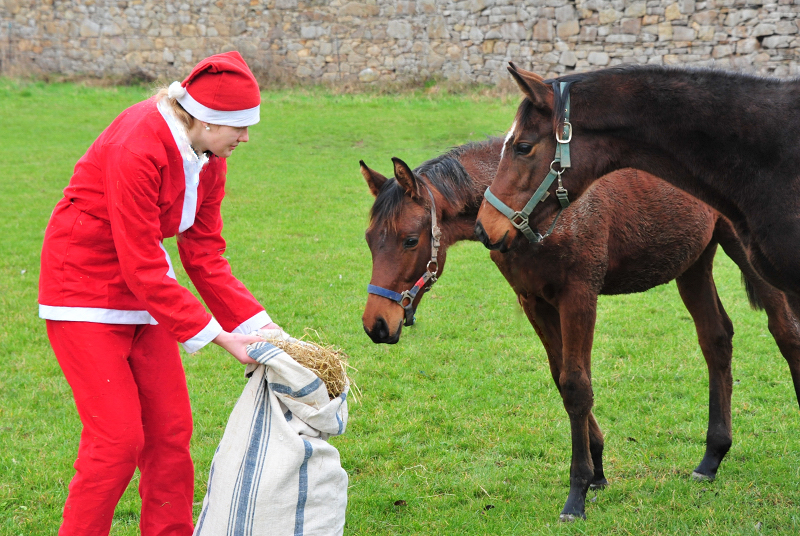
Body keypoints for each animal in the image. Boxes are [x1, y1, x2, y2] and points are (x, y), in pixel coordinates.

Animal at [362, 137, 800, 520]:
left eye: (410, 240)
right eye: (369, 240)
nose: (376, 324)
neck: (532, 211)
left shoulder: (579, 295)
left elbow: (576, 386)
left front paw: (577, 494)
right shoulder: (534, 301)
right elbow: (562, 379)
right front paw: (598, 470)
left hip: (746, 251)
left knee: (785, 333)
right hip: (694, 261)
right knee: (716, 339)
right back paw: (711, 457)